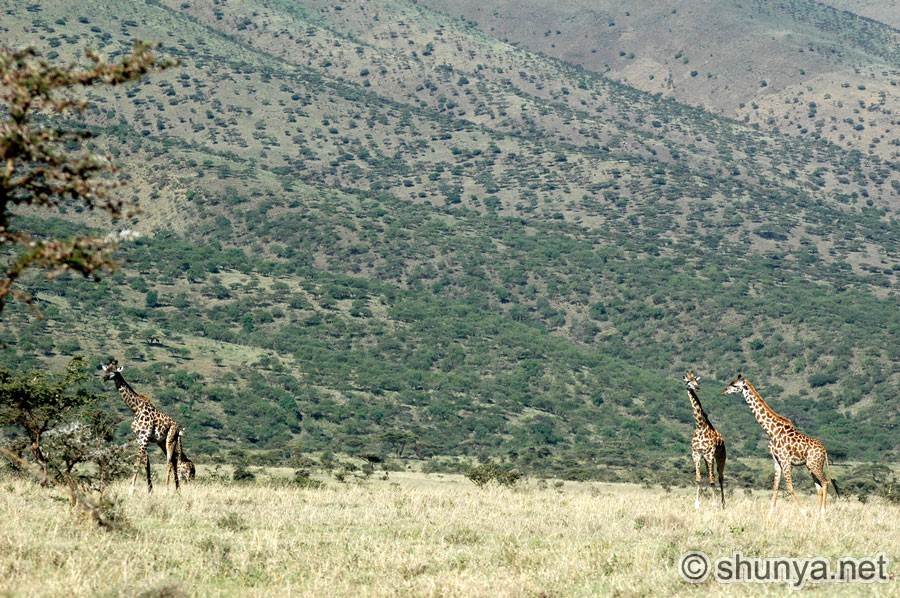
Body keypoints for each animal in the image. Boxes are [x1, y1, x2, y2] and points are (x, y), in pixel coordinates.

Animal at [101, 358, 181, 494]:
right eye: (106, 369)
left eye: (114, 371)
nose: (104, 377)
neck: (135, 408)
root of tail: (178, 427)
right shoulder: (140, 438)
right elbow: (146, 463)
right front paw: (150, 491)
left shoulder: (144, 437)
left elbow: (137, 462)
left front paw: (131, 490)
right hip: (161, 441)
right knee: (174, 459)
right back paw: (177, 489)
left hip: (170, 439)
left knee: (169, 461)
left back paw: (167, 490)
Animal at [684, 372, 728, 508]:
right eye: (688, 381)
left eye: (696, 380)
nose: (697, 388)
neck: (700, 425)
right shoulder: (696, 454)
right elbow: (698, 479)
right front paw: (696, 504)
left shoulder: (709, 454)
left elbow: (712, 480)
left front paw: (713, 504)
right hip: (706, 458)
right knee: (711, 475)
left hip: (720, 457)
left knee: (719, 477)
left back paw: (723, 503)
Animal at [720, 376, 840, 516]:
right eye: (731, 383)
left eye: (734, 385)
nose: (723, 391)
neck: (771, 431)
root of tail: (825, 450)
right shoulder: (776, 459)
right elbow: (775, 486)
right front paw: (770, 512)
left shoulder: (785, 460)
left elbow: (789, 487)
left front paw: (803, 511)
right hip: (811, 466)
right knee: (819, 487)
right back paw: (817, 512)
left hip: (814, 465)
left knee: (825, 482)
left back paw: (822, 512)